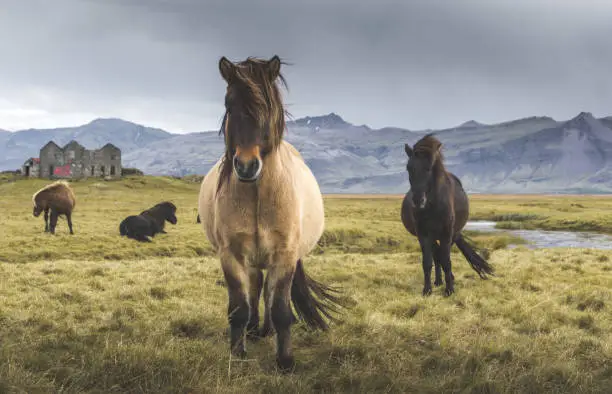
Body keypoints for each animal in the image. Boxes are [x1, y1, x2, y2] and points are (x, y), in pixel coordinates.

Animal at [198, 54, 346, 372]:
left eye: (267, 107)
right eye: (229, 104)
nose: (246, 166)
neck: (256, 196)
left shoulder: (285, 255)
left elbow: (280, 309)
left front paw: (285, 361)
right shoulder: (231, 255)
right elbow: (238, 308)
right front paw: (237, 353)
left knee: (266, 292)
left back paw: (266, 330)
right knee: (256, 287)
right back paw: (255, 330)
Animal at [400, 134, 494, 298]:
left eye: (429, 168)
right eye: (409, 168)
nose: (418, 200)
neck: (433, 205)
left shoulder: (446, 234)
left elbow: (446, 261)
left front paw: (450, 289)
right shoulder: (423, 234)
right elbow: (427, 262)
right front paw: (427, 290)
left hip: (452, 235)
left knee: (441, 257)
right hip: (433, 236)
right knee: (436, 256)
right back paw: (438, 281)